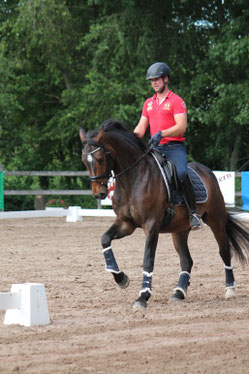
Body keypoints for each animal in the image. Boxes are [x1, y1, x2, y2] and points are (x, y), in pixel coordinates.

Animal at [79, 118, 249, 308]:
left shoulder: (151, 225)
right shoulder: (126, 223)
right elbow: (105, 240)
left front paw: (143, 296)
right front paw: (121, 279)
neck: (133, 179)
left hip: (216, 220)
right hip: (180, 229)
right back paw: (179, 292)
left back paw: (230, 289)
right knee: (186, 260)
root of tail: (206, 171)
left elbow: (148, 259)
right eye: (84, 161)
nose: (99, 194)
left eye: (100, 158)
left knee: (224, 251)